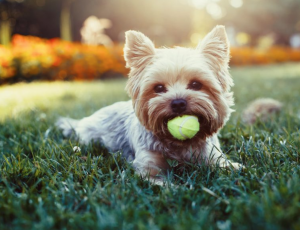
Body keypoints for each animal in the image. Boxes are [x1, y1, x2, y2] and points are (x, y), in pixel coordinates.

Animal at [56, 25, 241, 184]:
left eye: (196, 84)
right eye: (158, 88)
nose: (178, 102)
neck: (178, 144)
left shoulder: (211, 155)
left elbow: (226, 165)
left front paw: (235, 167)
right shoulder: (148, 166)